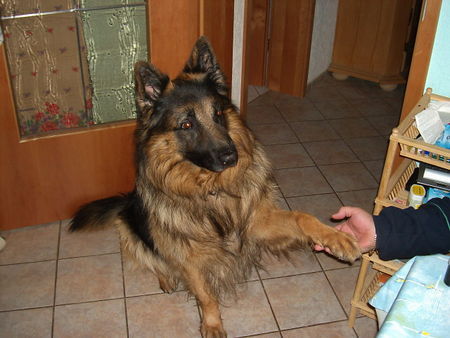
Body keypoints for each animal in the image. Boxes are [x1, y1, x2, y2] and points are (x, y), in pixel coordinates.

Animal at [70, 35, 358, 336]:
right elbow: (206, 295)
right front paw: (212, 324)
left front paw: (336, 237)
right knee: (154, 259)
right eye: (186, 124)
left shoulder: (256, 222)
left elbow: (302, 217)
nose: (232, 156)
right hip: (129, 231)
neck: (210, 189)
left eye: (218, 113)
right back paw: (166, 278)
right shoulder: (188, 255)